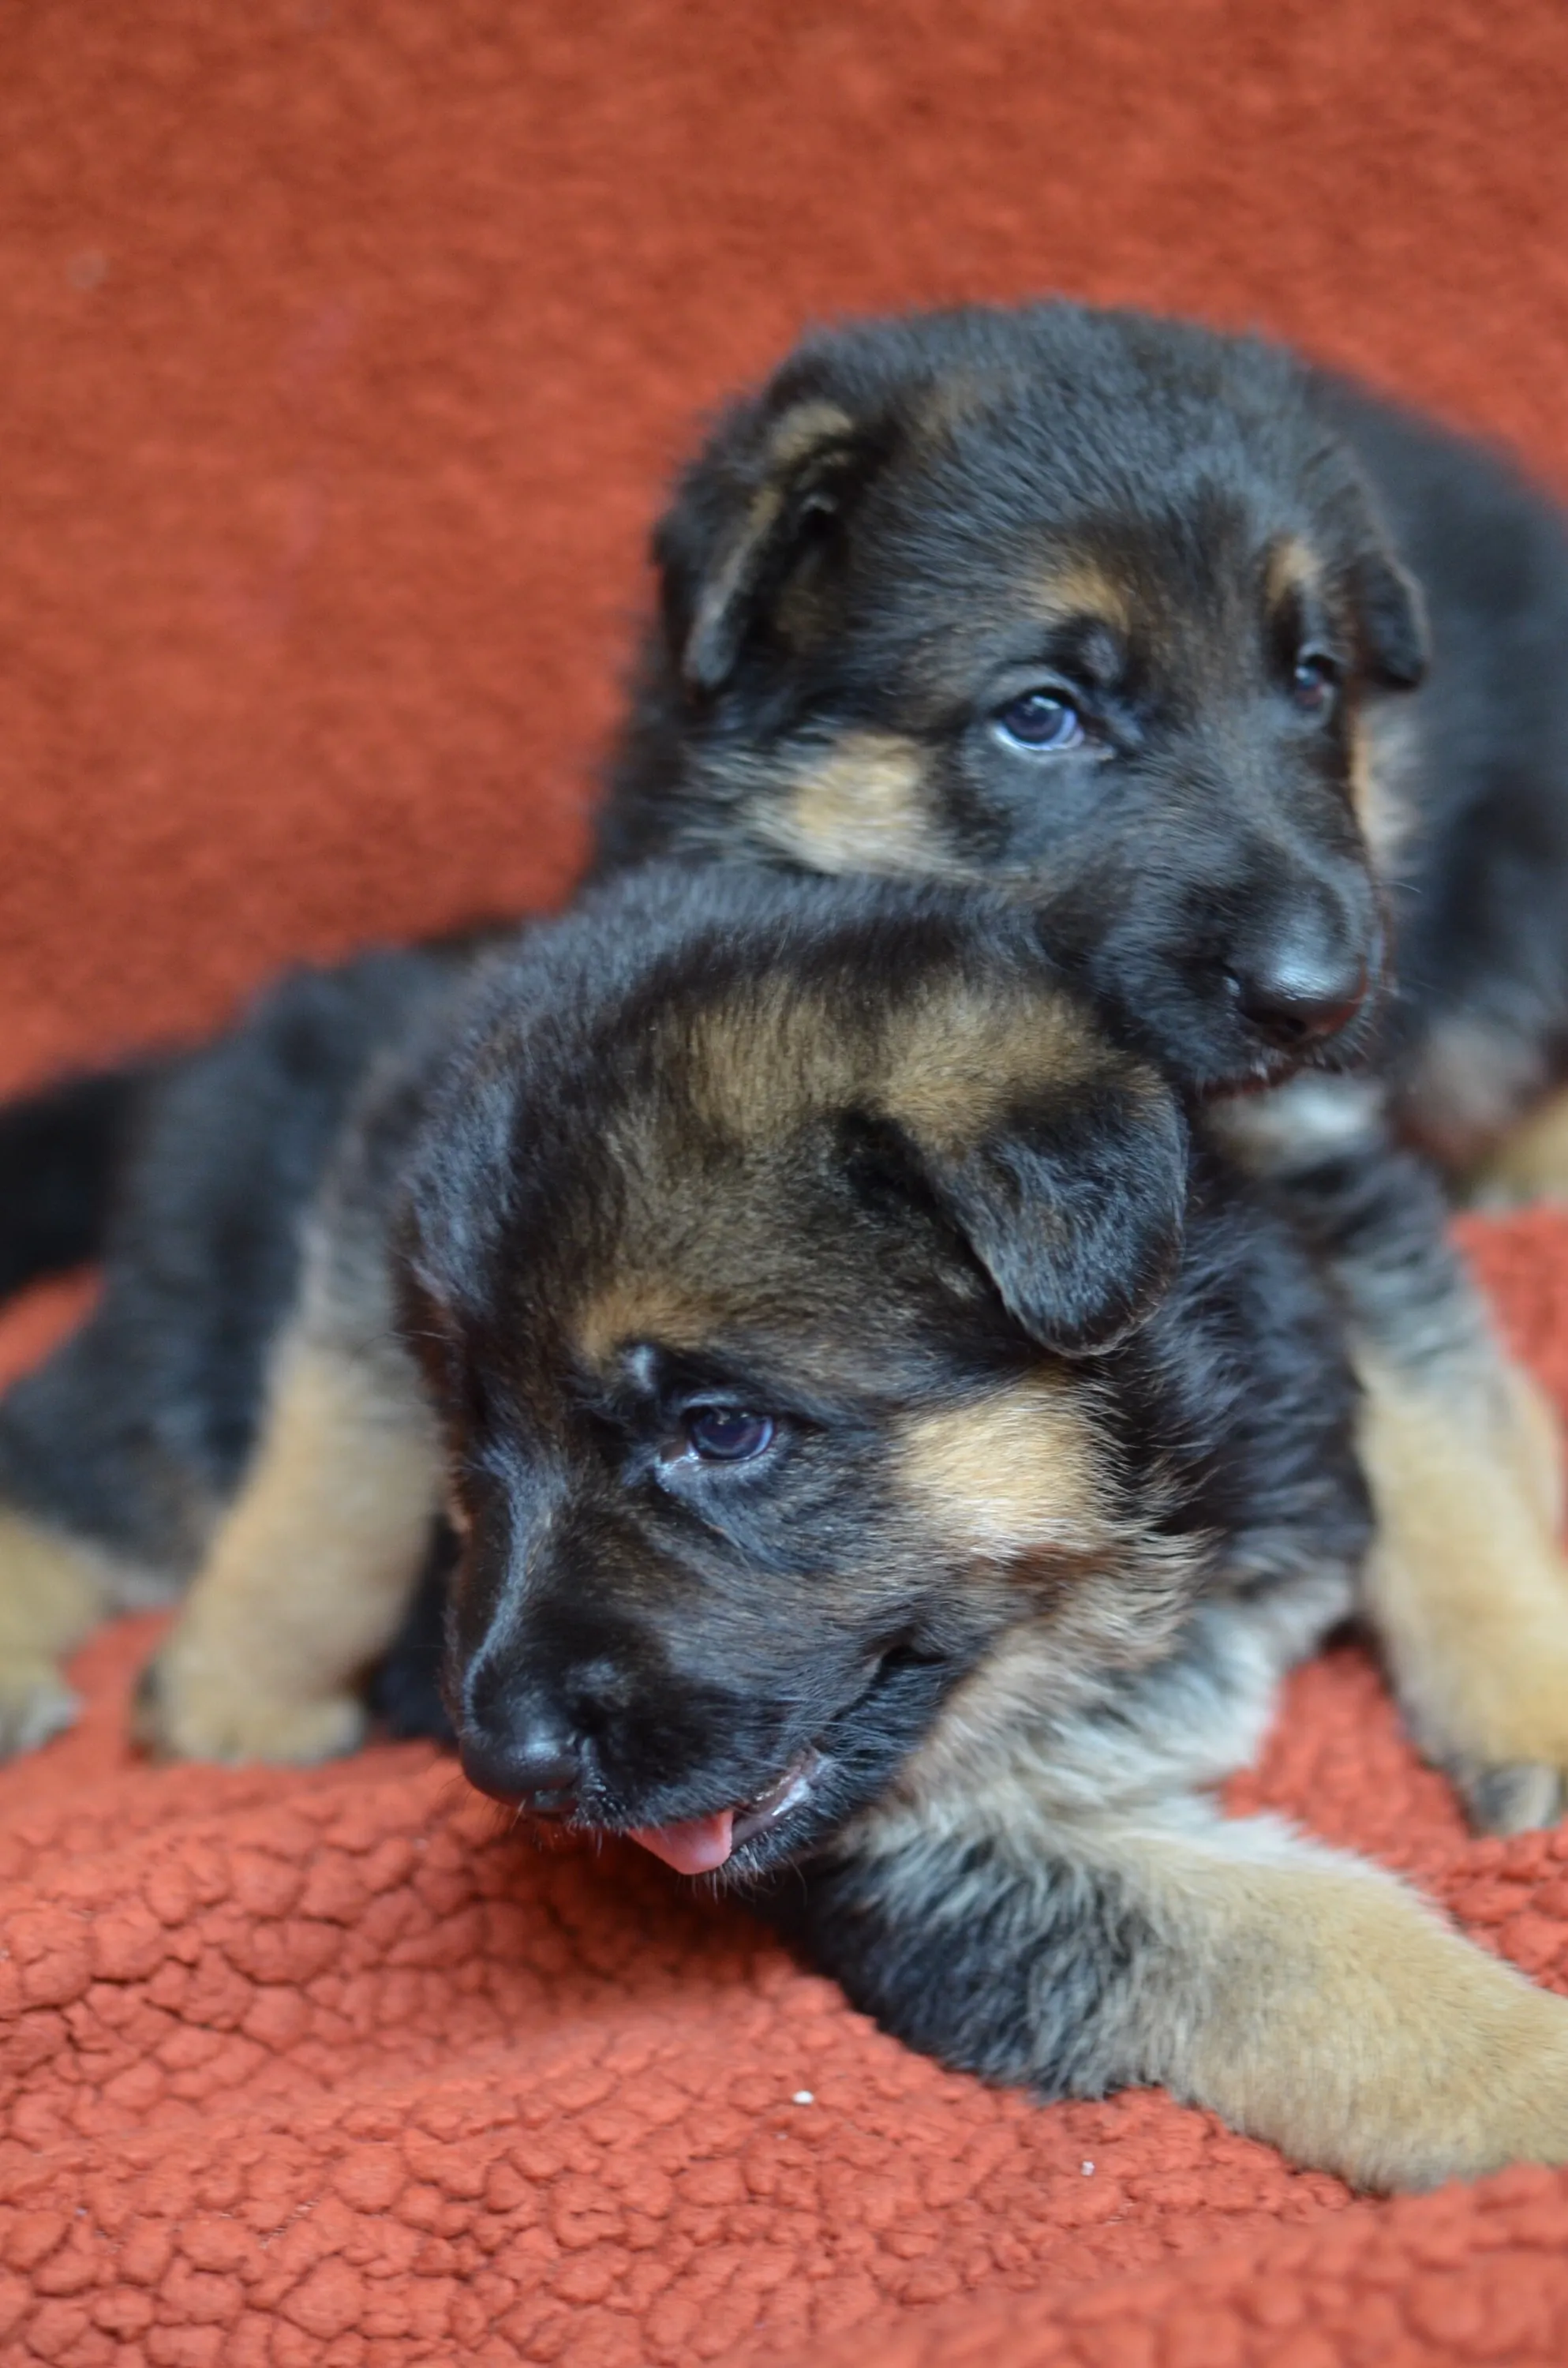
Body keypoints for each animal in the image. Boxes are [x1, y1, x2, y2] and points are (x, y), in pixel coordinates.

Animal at [2, 871, 1568, 2179]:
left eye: (721, 1432)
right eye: (468, 1446)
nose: (500, 1765)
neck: (1107, 1579)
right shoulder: (937, 1875)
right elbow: (1294, 1948)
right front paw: (1522, 2078)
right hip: (207, 1337)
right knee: (73, 1461)